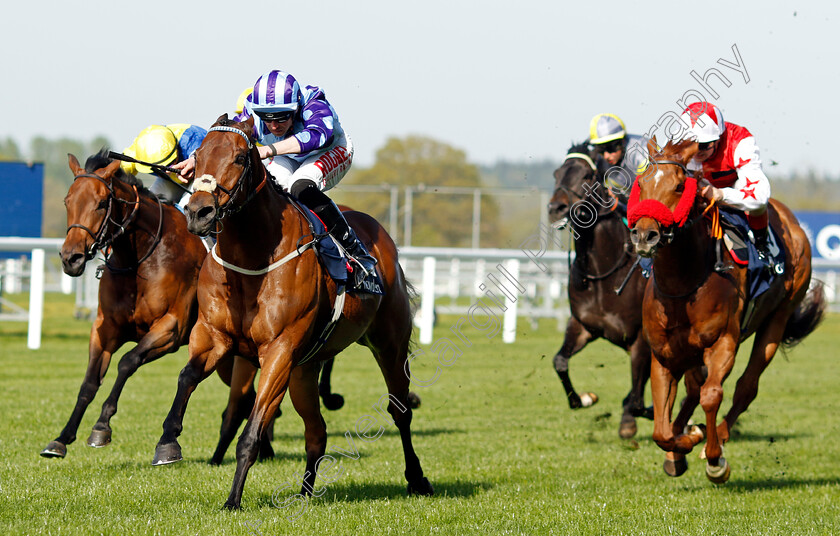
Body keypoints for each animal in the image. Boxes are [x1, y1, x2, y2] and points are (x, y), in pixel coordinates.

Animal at [41, 150, 276, 460]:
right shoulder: (106, 328)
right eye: (67, 201)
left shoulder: (170, 329)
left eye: (101, 203)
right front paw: (61, 438)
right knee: (248, 398)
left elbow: (127, 362)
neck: (141, 258)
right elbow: (90, 381)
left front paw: (102, 426)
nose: (71, 258)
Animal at [150, 115, 434, 508]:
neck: (252, 260)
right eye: (198, 156)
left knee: (400, 410)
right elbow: (186, 377)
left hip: (387, 344)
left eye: (240, 158)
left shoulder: (278, 352)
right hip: (305, 369)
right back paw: (304, 493)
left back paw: (417, 478)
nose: (199, 212)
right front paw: (167, 443)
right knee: (317, 430)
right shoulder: (213, 337)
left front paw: (232, 500)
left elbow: (252, 433)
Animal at [548, 143, 652, 440]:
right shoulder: (584, 325)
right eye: (556, 173)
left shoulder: (641, 339)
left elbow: (638, 401)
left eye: (585, 175)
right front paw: (584, 399)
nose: (556, 208)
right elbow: (560, 362)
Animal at [628, 138, 824, 482]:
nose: (644, 235)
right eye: (641, 184)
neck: (683, 285)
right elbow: (661, 429)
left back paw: (716, 436)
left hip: (778, 317)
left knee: (746, 386)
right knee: (693, 390)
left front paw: (714, 459)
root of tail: (791, 219)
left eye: (679, 186)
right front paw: (681, 444)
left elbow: (712, 395)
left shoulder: (722, 344)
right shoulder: (664, 355)